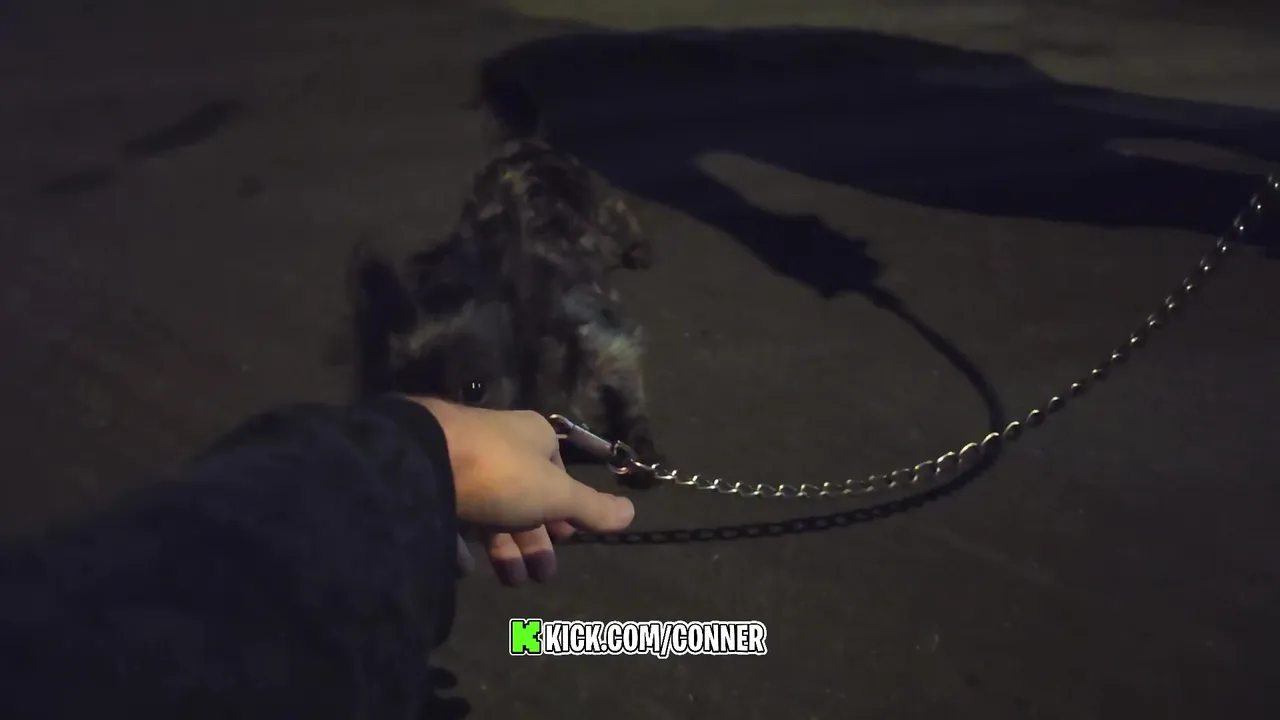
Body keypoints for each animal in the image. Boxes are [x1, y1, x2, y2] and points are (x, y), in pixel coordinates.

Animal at [346, 138, 665, 486]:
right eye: (395, 389)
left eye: (475, 390)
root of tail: (530, 143)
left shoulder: (612, 341)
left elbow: (631, 399)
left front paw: (645, 453)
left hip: (601, 203)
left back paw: (640, 249)